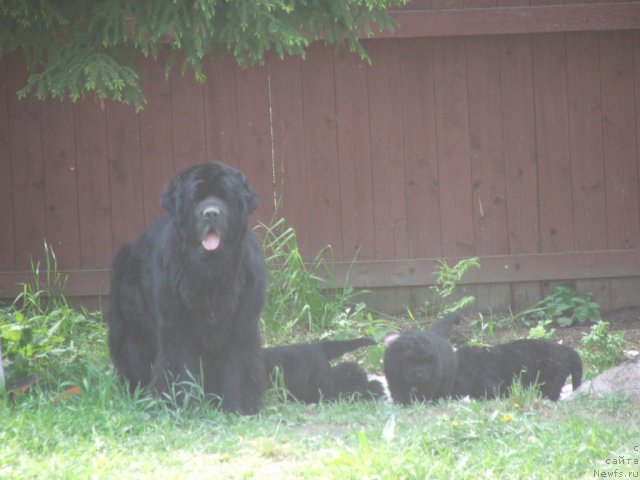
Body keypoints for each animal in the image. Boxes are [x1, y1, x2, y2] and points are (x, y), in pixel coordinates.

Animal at [106, 162, 266, 416]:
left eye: (224, 197)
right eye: (196, 198)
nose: (211, 213)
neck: (211, 273)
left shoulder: (242, 326)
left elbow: (238, 368)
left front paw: (236, 408)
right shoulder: (177, 328)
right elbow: (181, 368)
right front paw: (183, 407)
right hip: (133, 327)